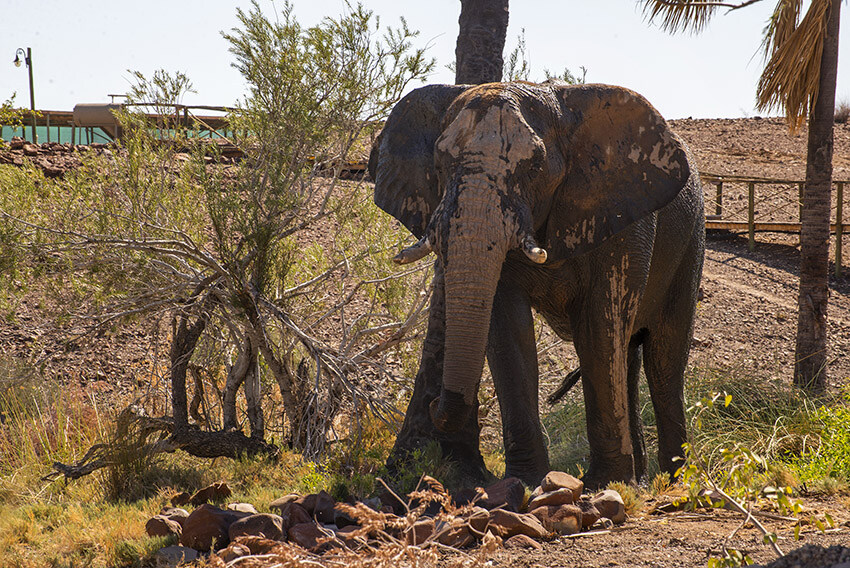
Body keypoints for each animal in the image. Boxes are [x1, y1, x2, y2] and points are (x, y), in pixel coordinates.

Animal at [366, 80, 704, 488]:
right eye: (439, 164)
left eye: (534, 167)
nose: (433, 405)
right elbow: (507, 331)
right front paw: (527, 482)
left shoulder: (624, 221)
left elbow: (599, 328)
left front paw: (604, 485)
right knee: (629, 357)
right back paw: (641, 480)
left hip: (692, 243)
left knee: (664, 361)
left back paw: (674, 482)